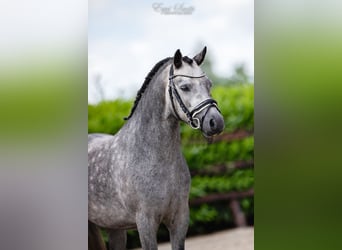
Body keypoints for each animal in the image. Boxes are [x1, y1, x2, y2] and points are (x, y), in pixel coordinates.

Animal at [87, 47, 224, 250]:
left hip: (114, 227)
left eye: (209, 84)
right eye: (184, 87)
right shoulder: (146, 222)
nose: (216, 122)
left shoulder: (180, 219)